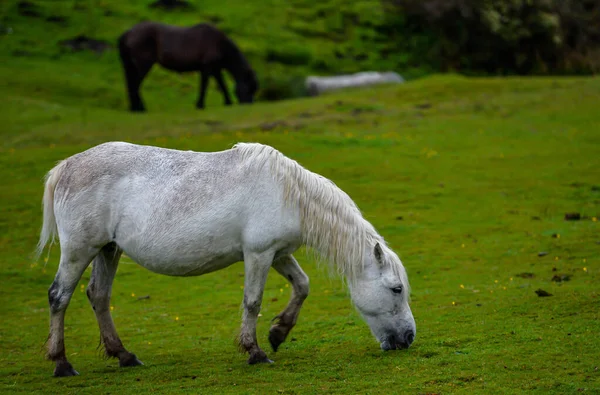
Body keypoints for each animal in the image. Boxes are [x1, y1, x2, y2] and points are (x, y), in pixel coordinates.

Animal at [35, 142, 414, 378]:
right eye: (396, 289)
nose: (408, 338)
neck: (289, 192)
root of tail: (66, 167)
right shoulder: (258, 254)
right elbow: (252, 301)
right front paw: (255, 351)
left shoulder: (278, 253)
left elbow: (302, 286)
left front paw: (278, 333)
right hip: (79, 251)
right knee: (59, 297)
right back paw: (61, 363)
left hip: (108, 250)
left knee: (98, 296)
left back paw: (124, 356)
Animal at [118, 21, 258, 112]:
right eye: (249, 88)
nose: (249, 104)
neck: (220, 44)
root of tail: (129, 32)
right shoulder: (207, 68)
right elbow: (204, 86)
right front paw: (200, 105)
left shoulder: (215, 69)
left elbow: (222, 84)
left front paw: (228, 102)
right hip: (143, 66)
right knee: (135, 85)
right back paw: (140, 108)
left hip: (131, 66)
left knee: (131, 85)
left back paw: (135, 108)